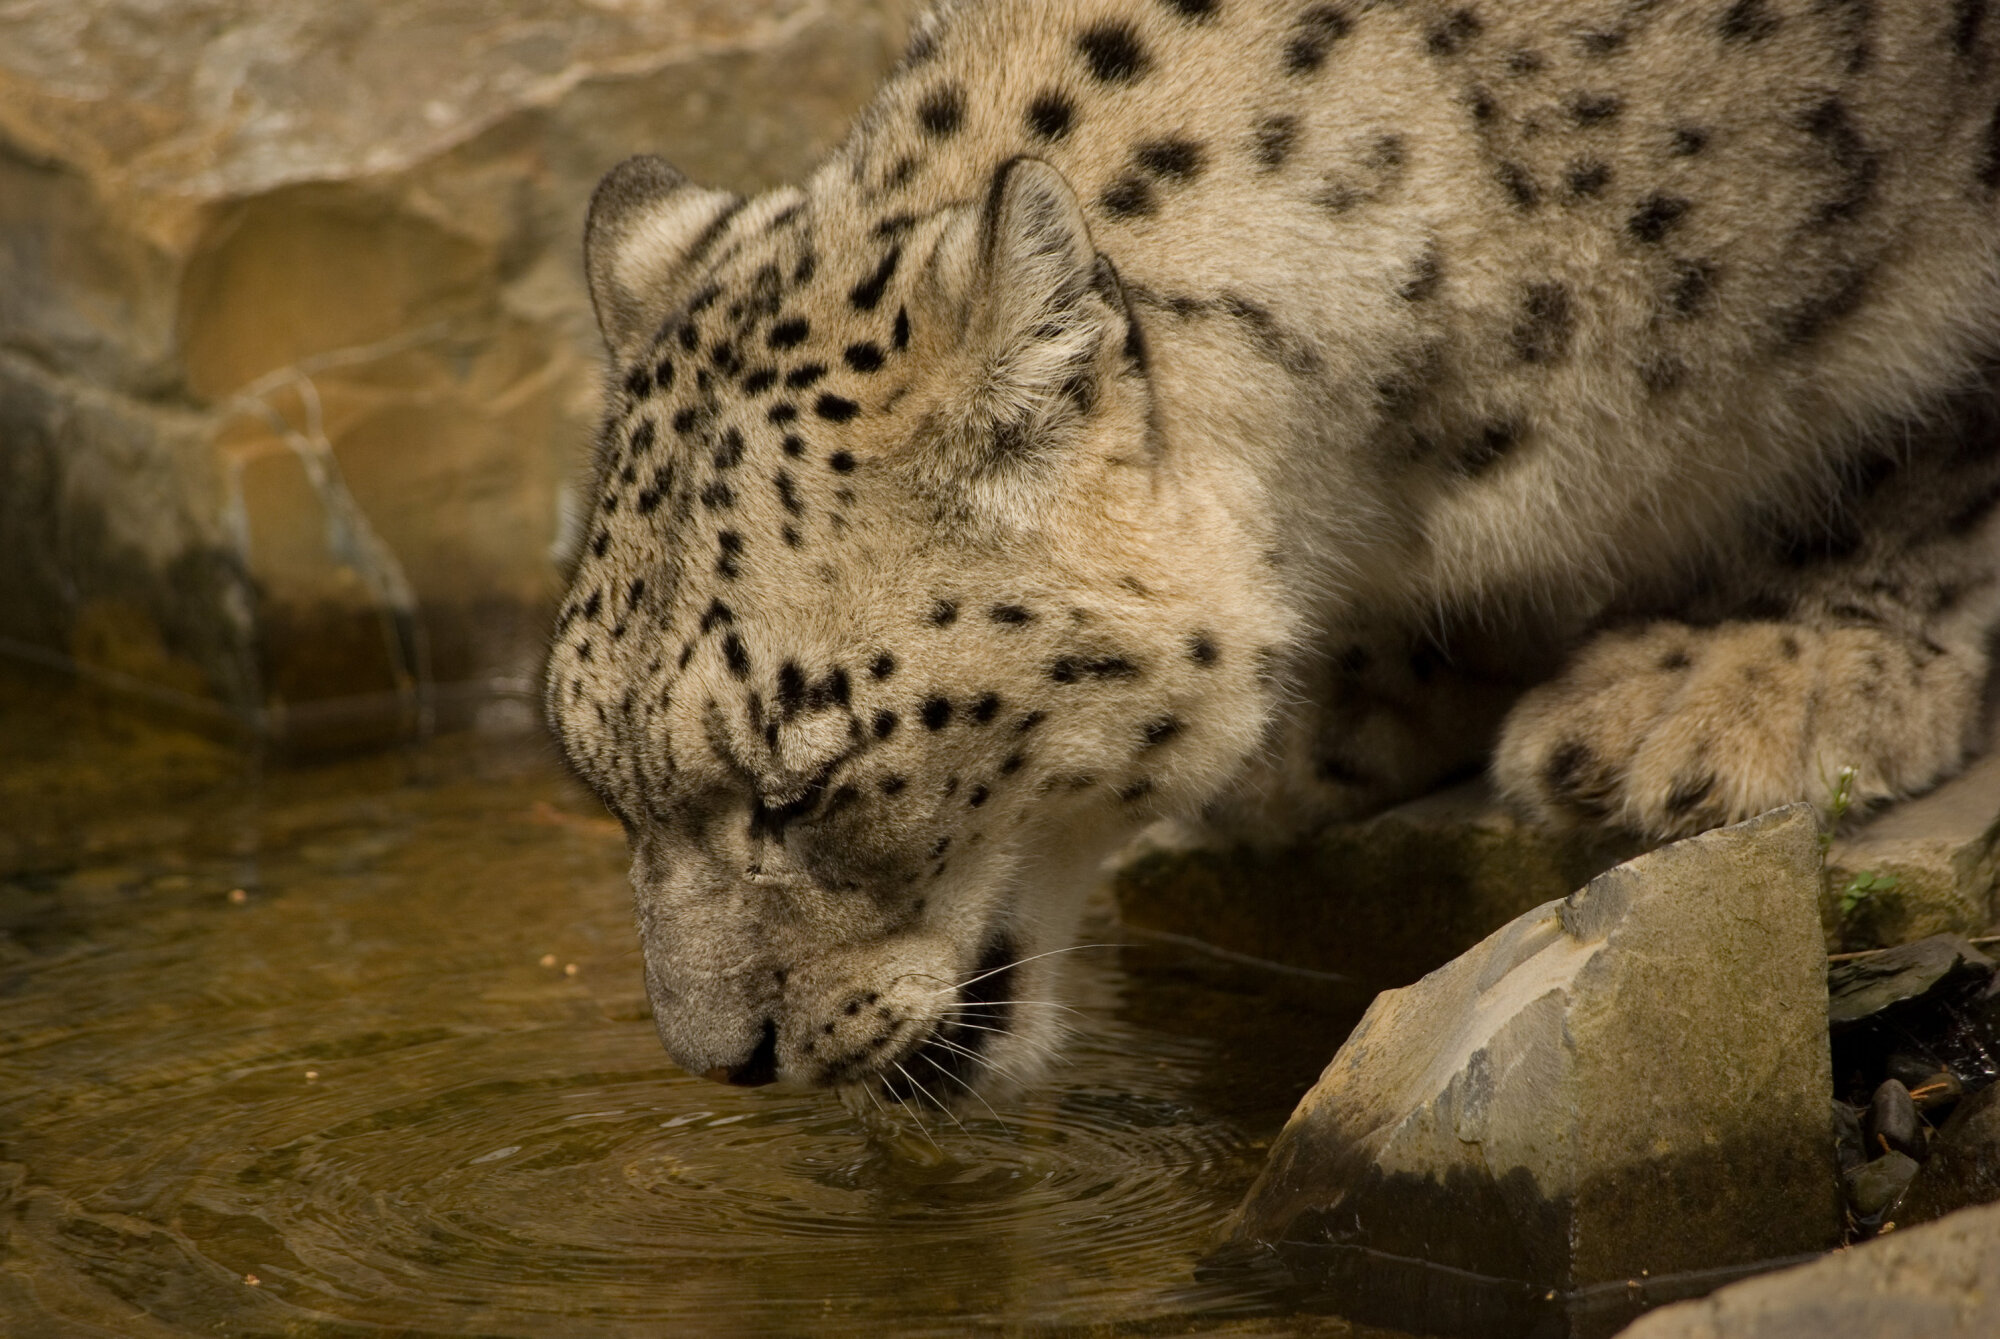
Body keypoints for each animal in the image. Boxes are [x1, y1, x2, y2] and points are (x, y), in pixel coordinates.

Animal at [545, 0, 2000, 1111]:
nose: (722, 1058)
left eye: (802, 786)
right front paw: (1341, 715)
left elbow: (1933, 430)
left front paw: (1743, 673)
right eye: (599, 778)